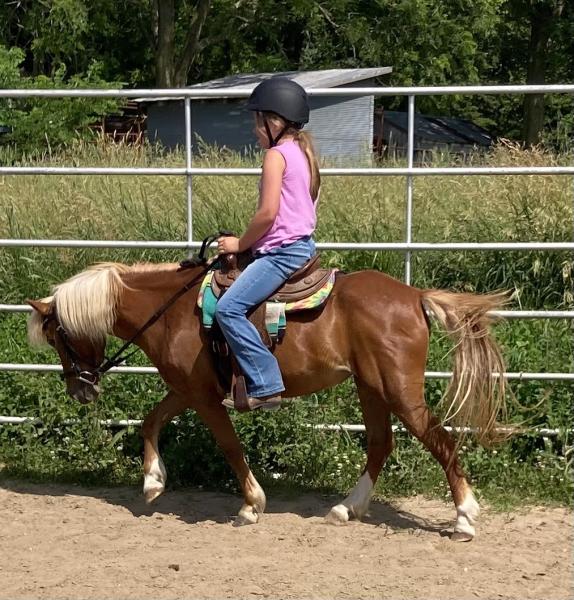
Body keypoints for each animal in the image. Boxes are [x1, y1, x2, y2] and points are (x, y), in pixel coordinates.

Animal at [25, 260, 508, 540]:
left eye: (58, 336)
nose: (80, 390)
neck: (169, 312)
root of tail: (413, 296)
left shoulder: (203, 398)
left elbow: (229, 446)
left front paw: (251, 505)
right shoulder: (187, 389)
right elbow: (151, 421)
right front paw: (152, 482)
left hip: (399, 392)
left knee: (441, 441)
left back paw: (464, 519)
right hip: (370, 387)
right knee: (379, 443)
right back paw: (346, 509)